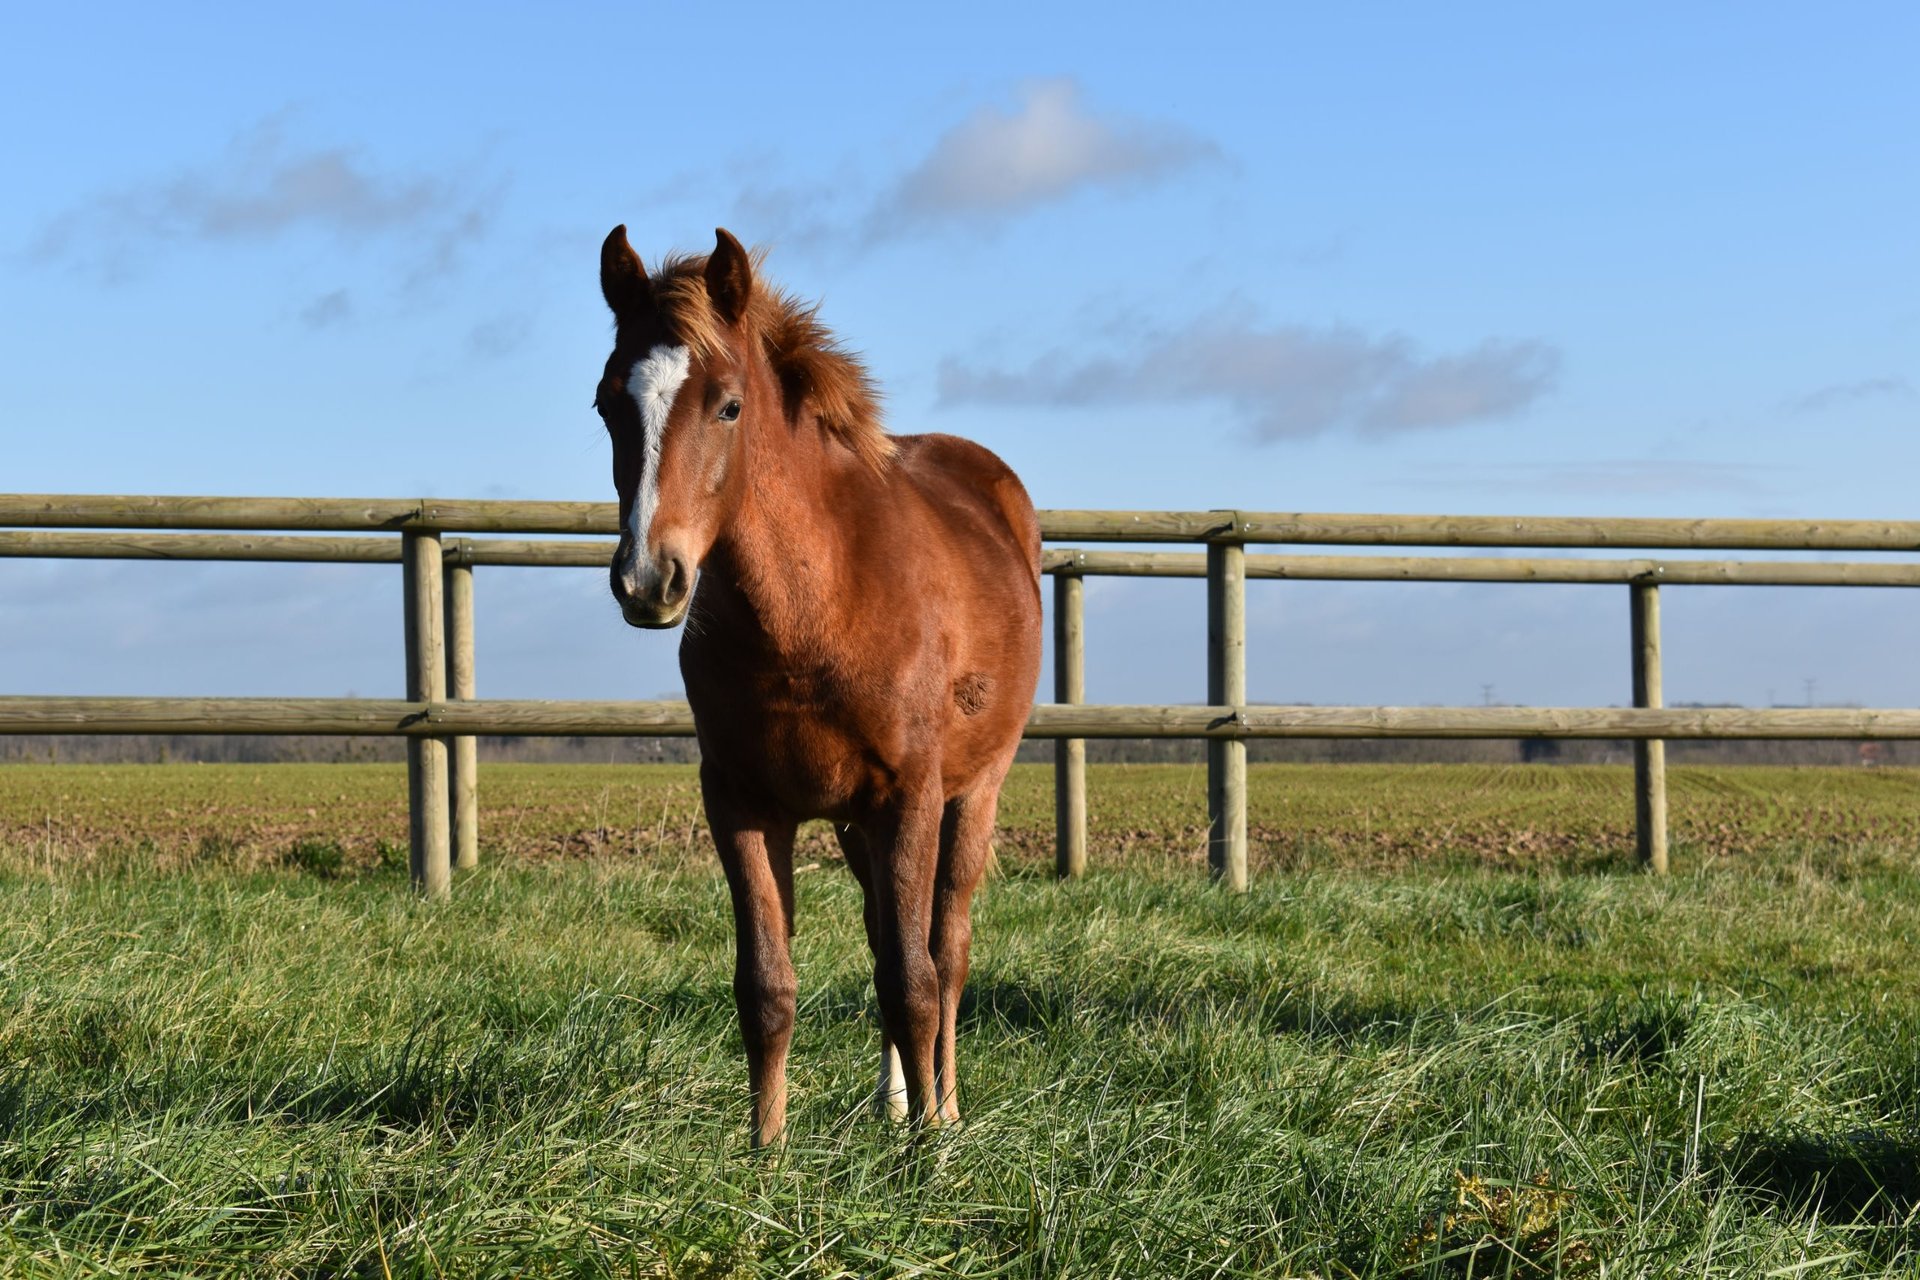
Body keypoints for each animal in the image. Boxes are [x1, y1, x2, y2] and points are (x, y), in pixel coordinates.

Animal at [591, 225, 1044, 1143]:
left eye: (728, 406)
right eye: (608, 404)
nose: (649, 581)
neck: (816, 607)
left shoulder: (910, 796)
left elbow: (915, 980)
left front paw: (926, 1159)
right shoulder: (742, 804)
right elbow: (768, 987)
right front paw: (765, 1154)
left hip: (972, 793)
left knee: (947, 950)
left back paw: (942, 1109)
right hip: (851, 823)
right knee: (882, 937)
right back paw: (893, 1101)